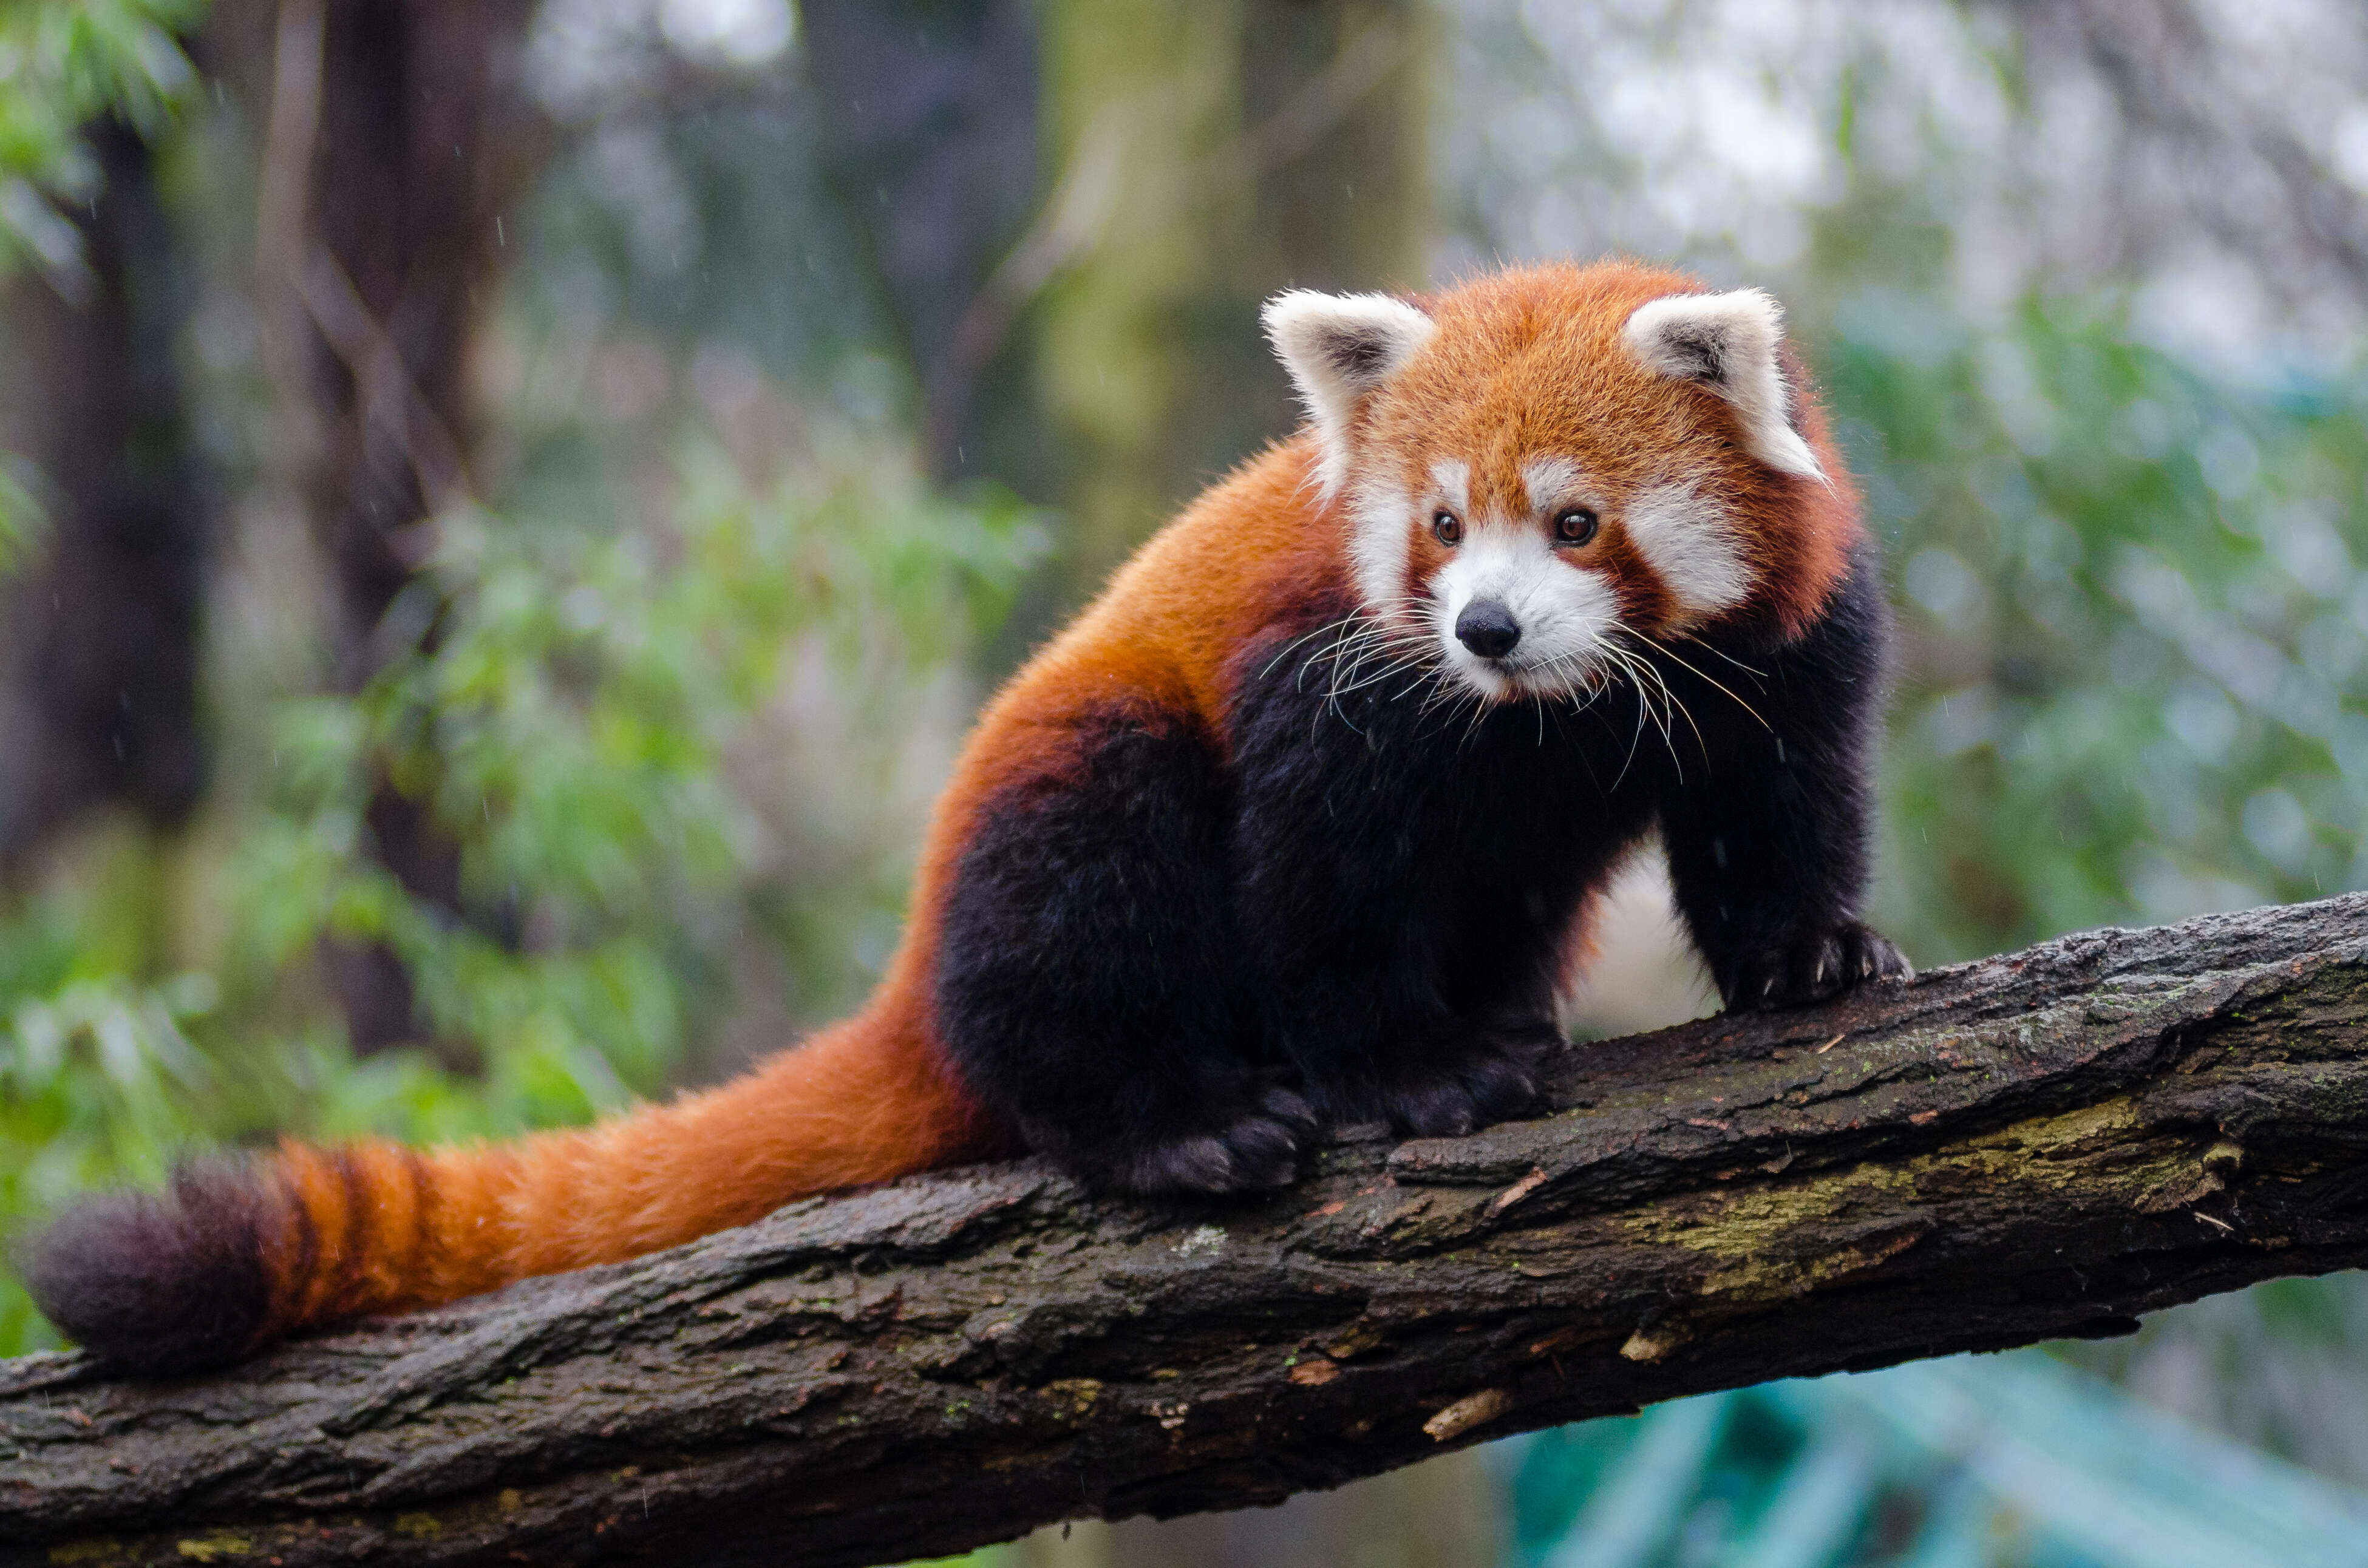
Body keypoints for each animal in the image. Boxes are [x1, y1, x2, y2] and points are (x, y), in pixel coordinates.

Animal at [13, 260, 1904, 1374]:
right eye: (1441, 526)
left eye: (1574, 523)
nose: (1486, 630)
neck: (1542, 721)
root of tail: (911, 969)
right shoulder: (1333, 678)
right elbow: (1319, 883)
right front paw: (1408, 1069)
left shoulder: (1782, 642)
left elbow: (1776, 806)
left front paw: (1808, 951)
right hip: (1063, 790)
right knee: (1080, 898)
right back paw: (1170, 1120)